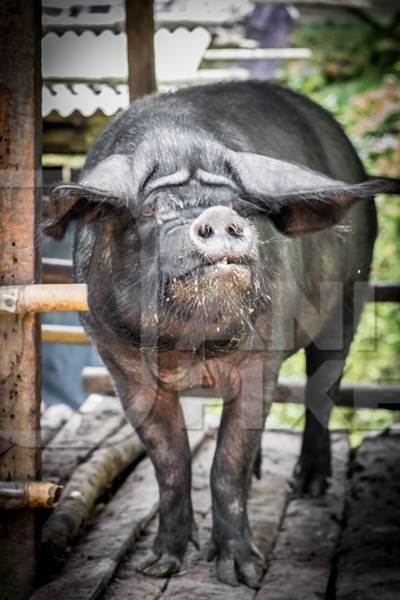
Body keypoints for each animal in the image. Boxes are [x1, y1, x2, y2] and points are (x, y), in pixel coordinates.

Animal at [44, 82, 400, 588]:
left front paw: (243, 574)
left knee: (321, 390)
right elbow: (171, 461)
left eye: (240, 208)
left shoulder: (261, 359)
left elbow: (226, 462)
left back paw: (309, 486)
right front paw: (159, 565)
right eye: (151, 209)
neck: (190, 347)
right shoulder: (121, 368)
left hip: (351, 299)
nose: (216, 217)